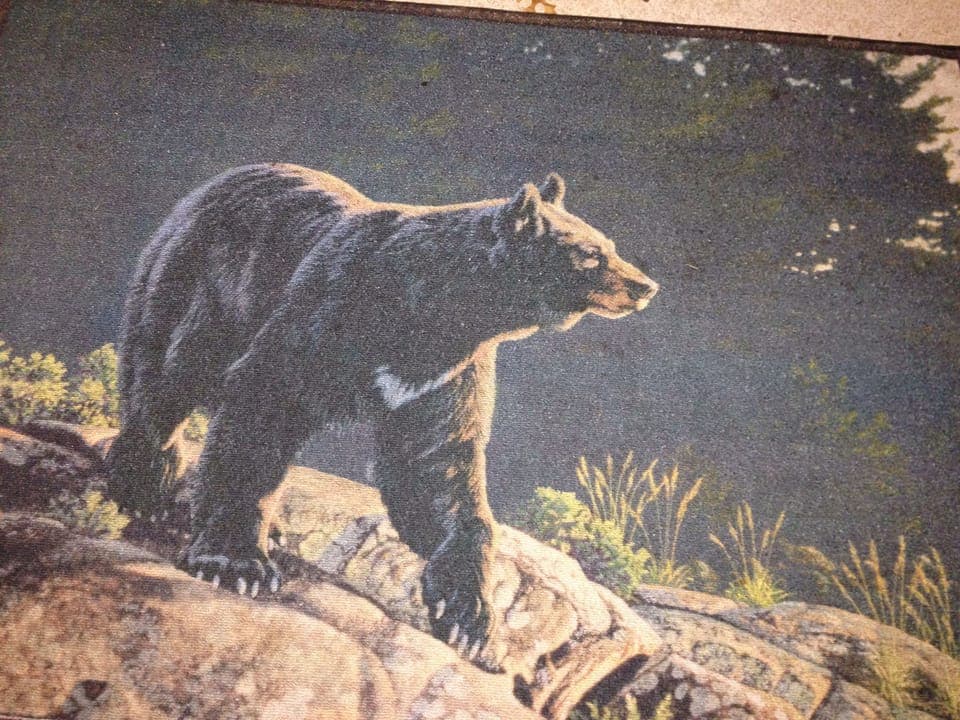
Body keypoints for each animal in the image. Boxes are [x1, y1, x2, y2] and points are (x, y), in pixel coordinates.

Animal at [107, 163, 658, 661]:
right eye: (590, 253)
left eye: (609, 244)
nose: (645, 286)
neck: (435, 309)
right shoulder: (326, 313)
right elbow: (261, 406)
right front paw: (235, 563)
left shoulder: (446, 372)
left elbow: (437, 469)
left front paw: (472, 621)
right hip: (198, 285)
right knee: (164, 379)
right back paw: (143, 488)